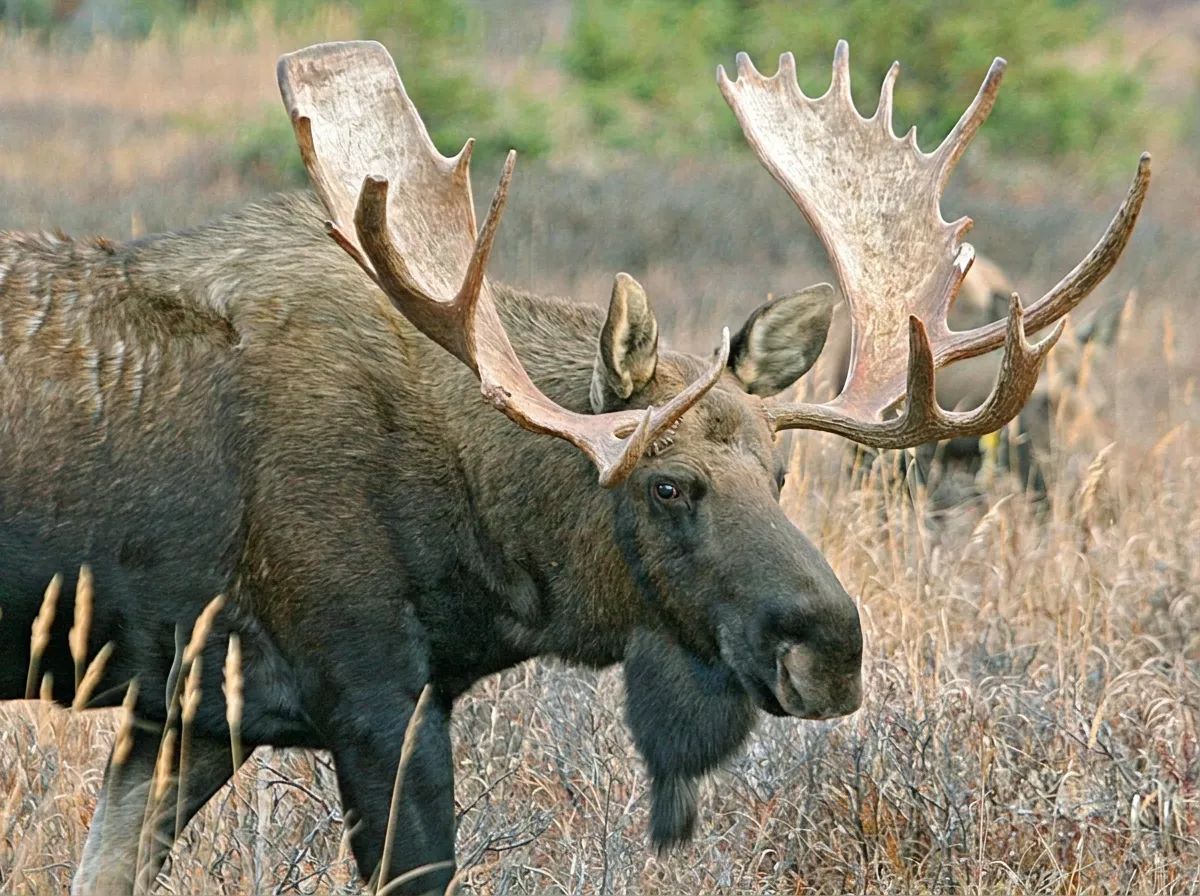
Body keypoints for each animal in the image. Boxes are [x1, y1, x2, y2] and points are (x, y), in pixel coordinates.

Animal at [0, 40, 1148, 895]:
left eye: (780, 475)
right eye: (667, 483)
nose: (833, 647)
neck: (484, 550)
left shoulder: (186, 710)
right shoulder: (370, 691)